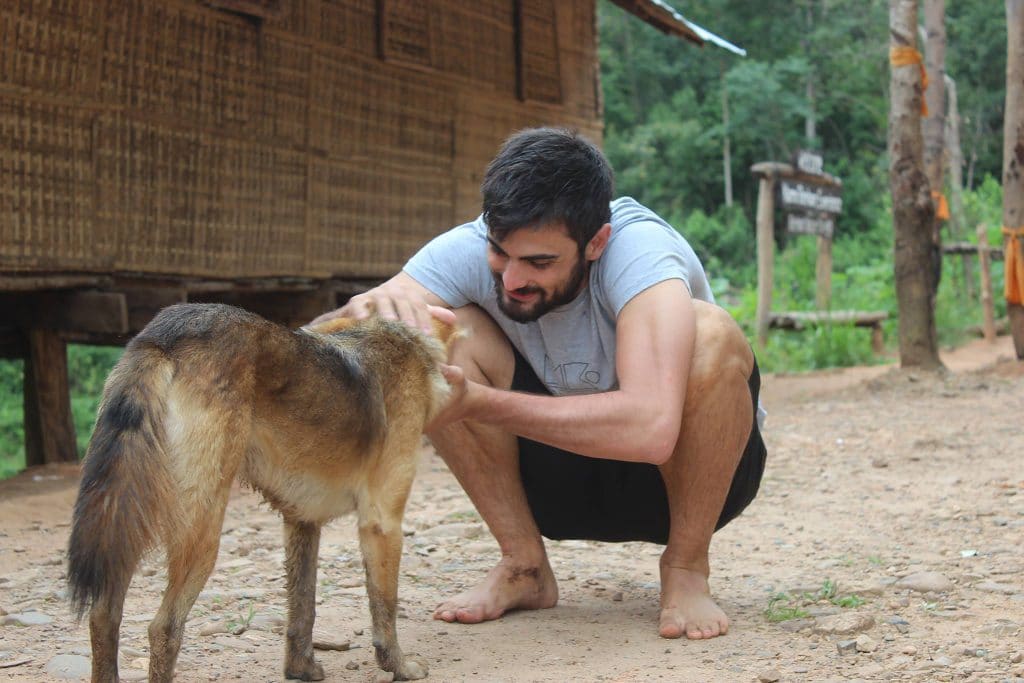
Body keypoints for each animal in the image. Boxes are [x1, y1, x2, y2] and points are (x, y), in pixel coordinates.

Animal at [68, 305, 456, 683]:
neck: (403, 337)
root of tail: (166, 333)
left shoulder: (302, 521)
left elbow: (303, 610)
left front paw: (301, 671)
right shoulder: (382, 523)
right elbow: (385, 607)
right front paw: (400, 667)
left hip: (124, 525)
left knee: (103, 616)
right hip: (202, 534)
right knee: (163, 628)